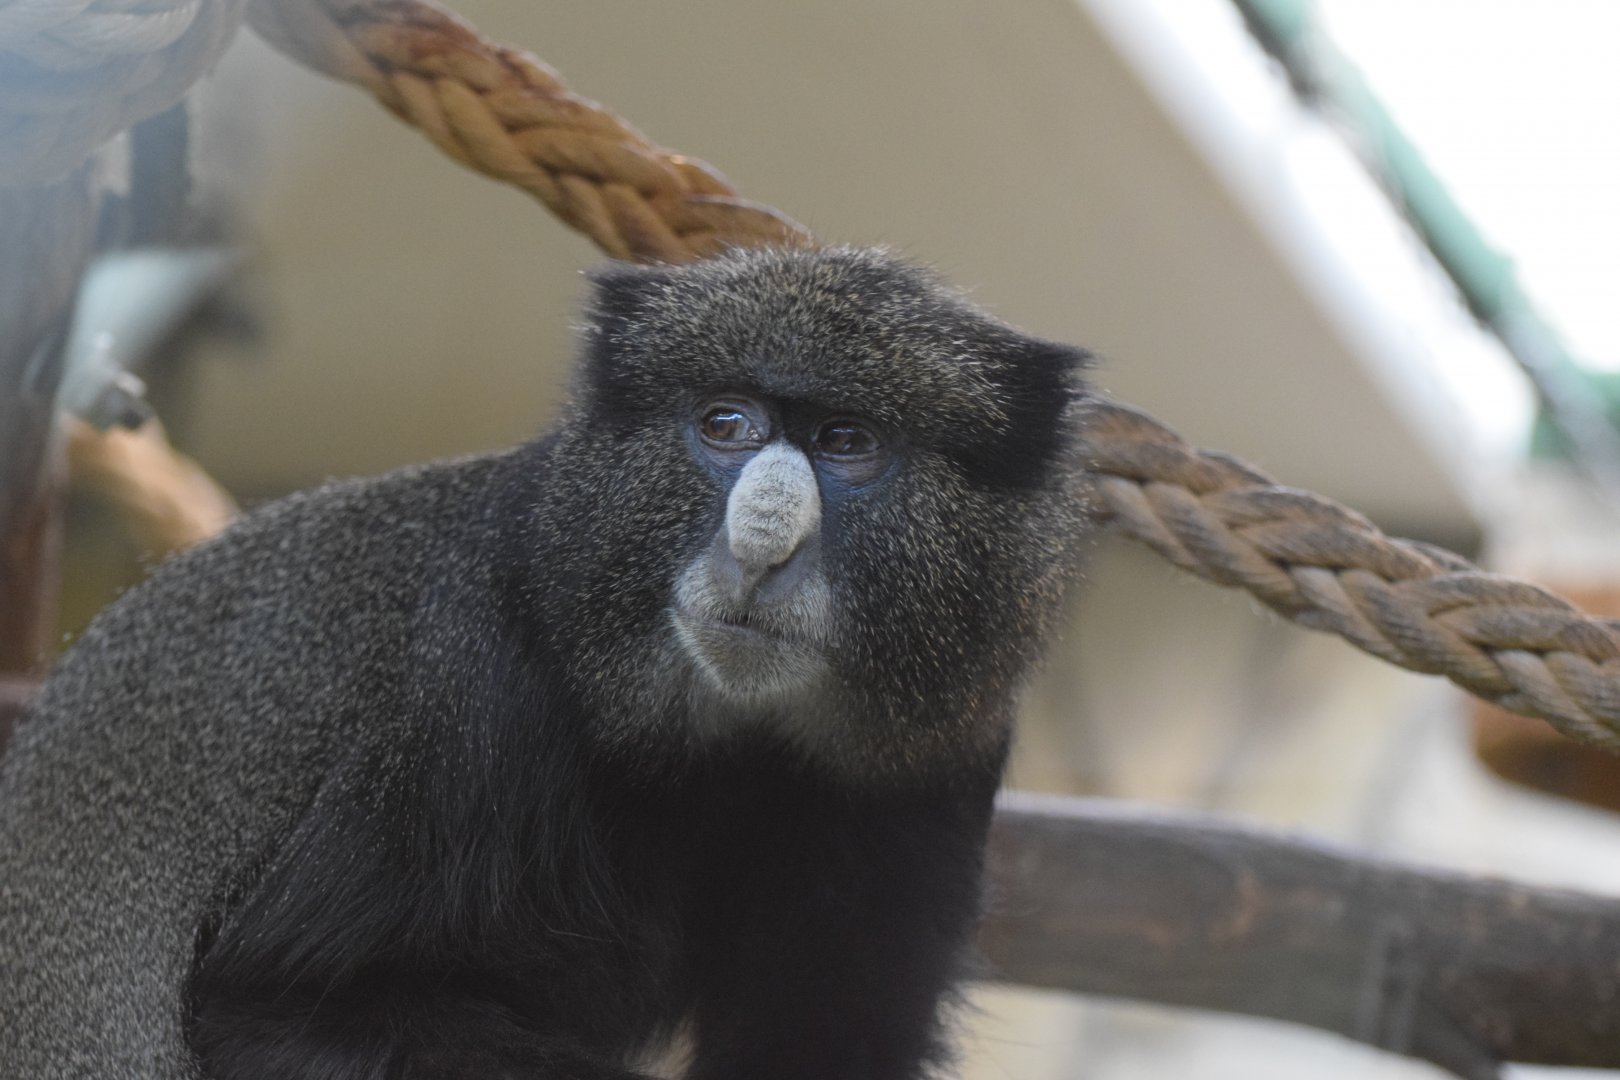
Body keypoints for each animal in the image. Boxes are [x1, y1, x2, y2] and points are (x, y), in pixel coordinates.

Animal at [0, 245, 1092, 1080]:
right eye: (726, 425)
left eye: (848, 441)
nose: (761, 543)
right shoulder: (470, 696)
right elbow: (280, 1003)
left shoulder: (938, 758)